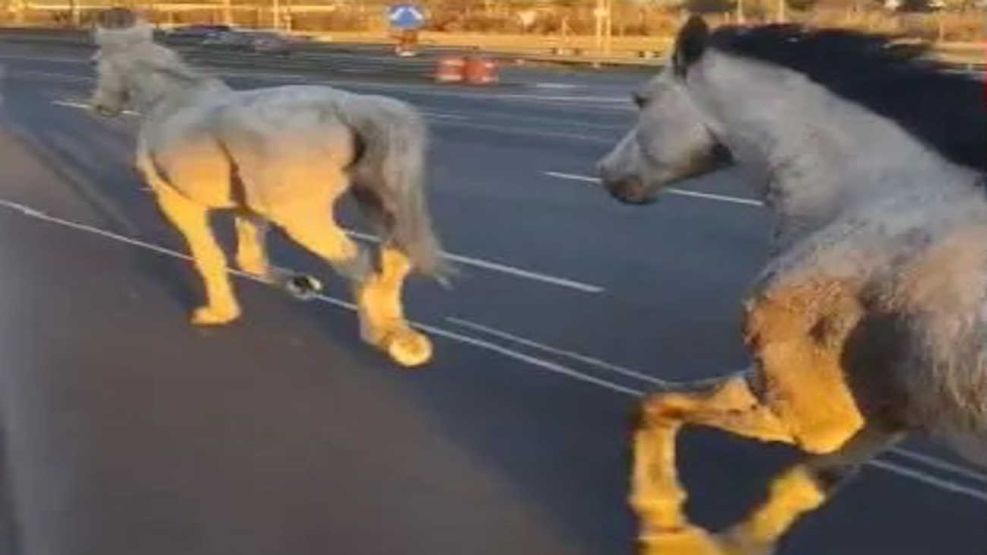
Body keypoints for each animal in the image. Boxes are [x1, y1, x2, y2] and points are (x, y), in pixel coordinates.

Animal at [89, 8, 448, 370]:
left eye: (96, 63)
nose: (99, 106)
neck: (168, 99)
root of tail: (349, 106)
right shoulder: (249, 210)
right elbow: (249, 260)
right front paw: (300, 283)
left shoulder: (176, 202)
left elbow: (208, 256)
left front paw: (218, 312)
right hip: (375, 200)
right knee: (396, 255)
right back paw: (402, 337)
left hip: (300, 215)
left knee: (357, 261)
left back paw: (378, 334)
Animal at [600, 15, 987, 555]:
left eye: (641, 99)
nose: (609, 174)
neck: (874, 196)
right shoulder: (886, 412)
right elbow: (803, 486)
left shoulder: (805, 409)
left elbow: (654, 406)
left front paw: (665, 530)